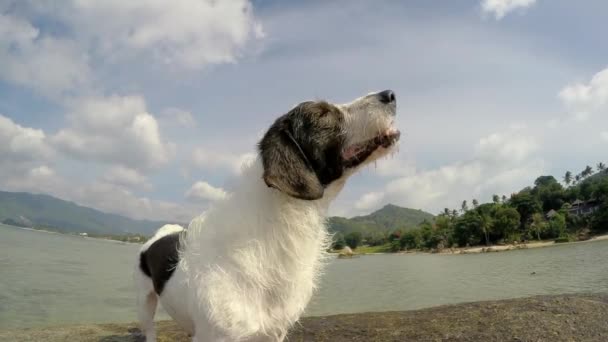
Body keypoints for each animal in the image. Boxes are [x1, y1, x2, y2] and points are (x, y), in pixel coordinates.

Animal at [133, 89, 400, 340]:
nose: (390, 94)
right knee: (149, 329)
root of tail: (162, 233)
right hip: (144, 302)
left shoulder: (275, 332)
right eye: (322, 114)